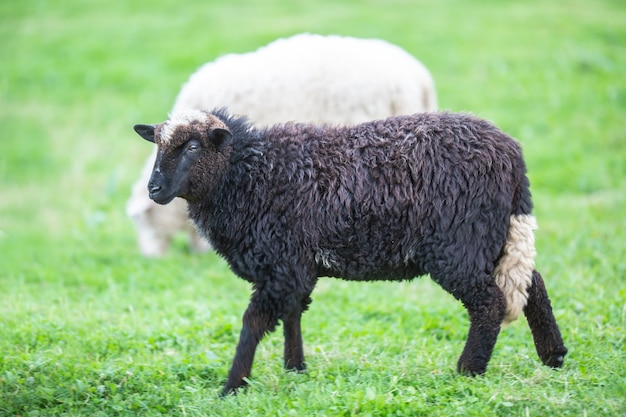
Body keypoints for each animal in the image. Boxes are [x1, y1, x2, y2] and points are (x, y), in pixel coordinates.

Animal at [135, 107, 564, 394]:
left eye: (192, 146)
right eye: (157, 145)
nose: (154, 189)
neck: (249, 175)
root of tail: (511, 153)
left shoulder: (282, 264)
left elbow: (253, 322)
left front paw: (232, 385)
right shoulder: (294, 267)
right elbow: (293, 315)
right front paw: (296, 369)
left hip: (460, 244)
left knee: (490, 302)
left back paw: (468, 371)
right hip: (493, 238)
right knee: (532, 283)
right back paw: (554, 357)